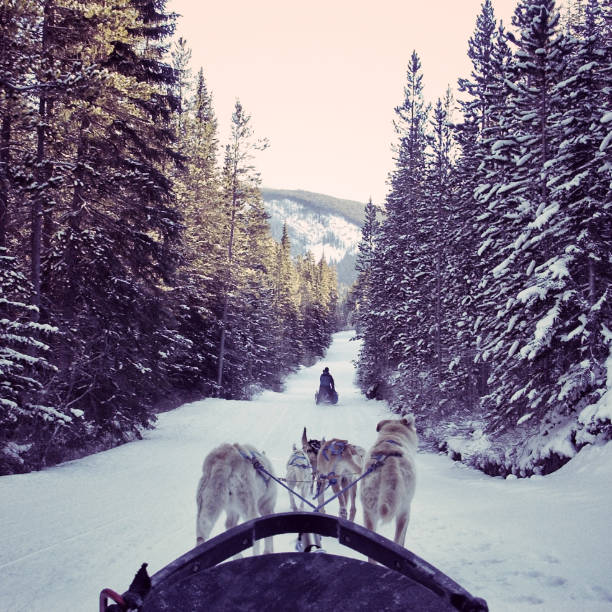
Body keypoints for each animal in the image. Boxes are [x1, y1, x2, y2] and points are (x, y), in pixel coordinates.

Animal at [360, 416, 418, 556]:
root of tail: (389, 462)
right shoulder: (406, 513)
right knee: (397, 541)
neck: (392, 437)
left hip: (368, 512)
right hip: (403, 511)